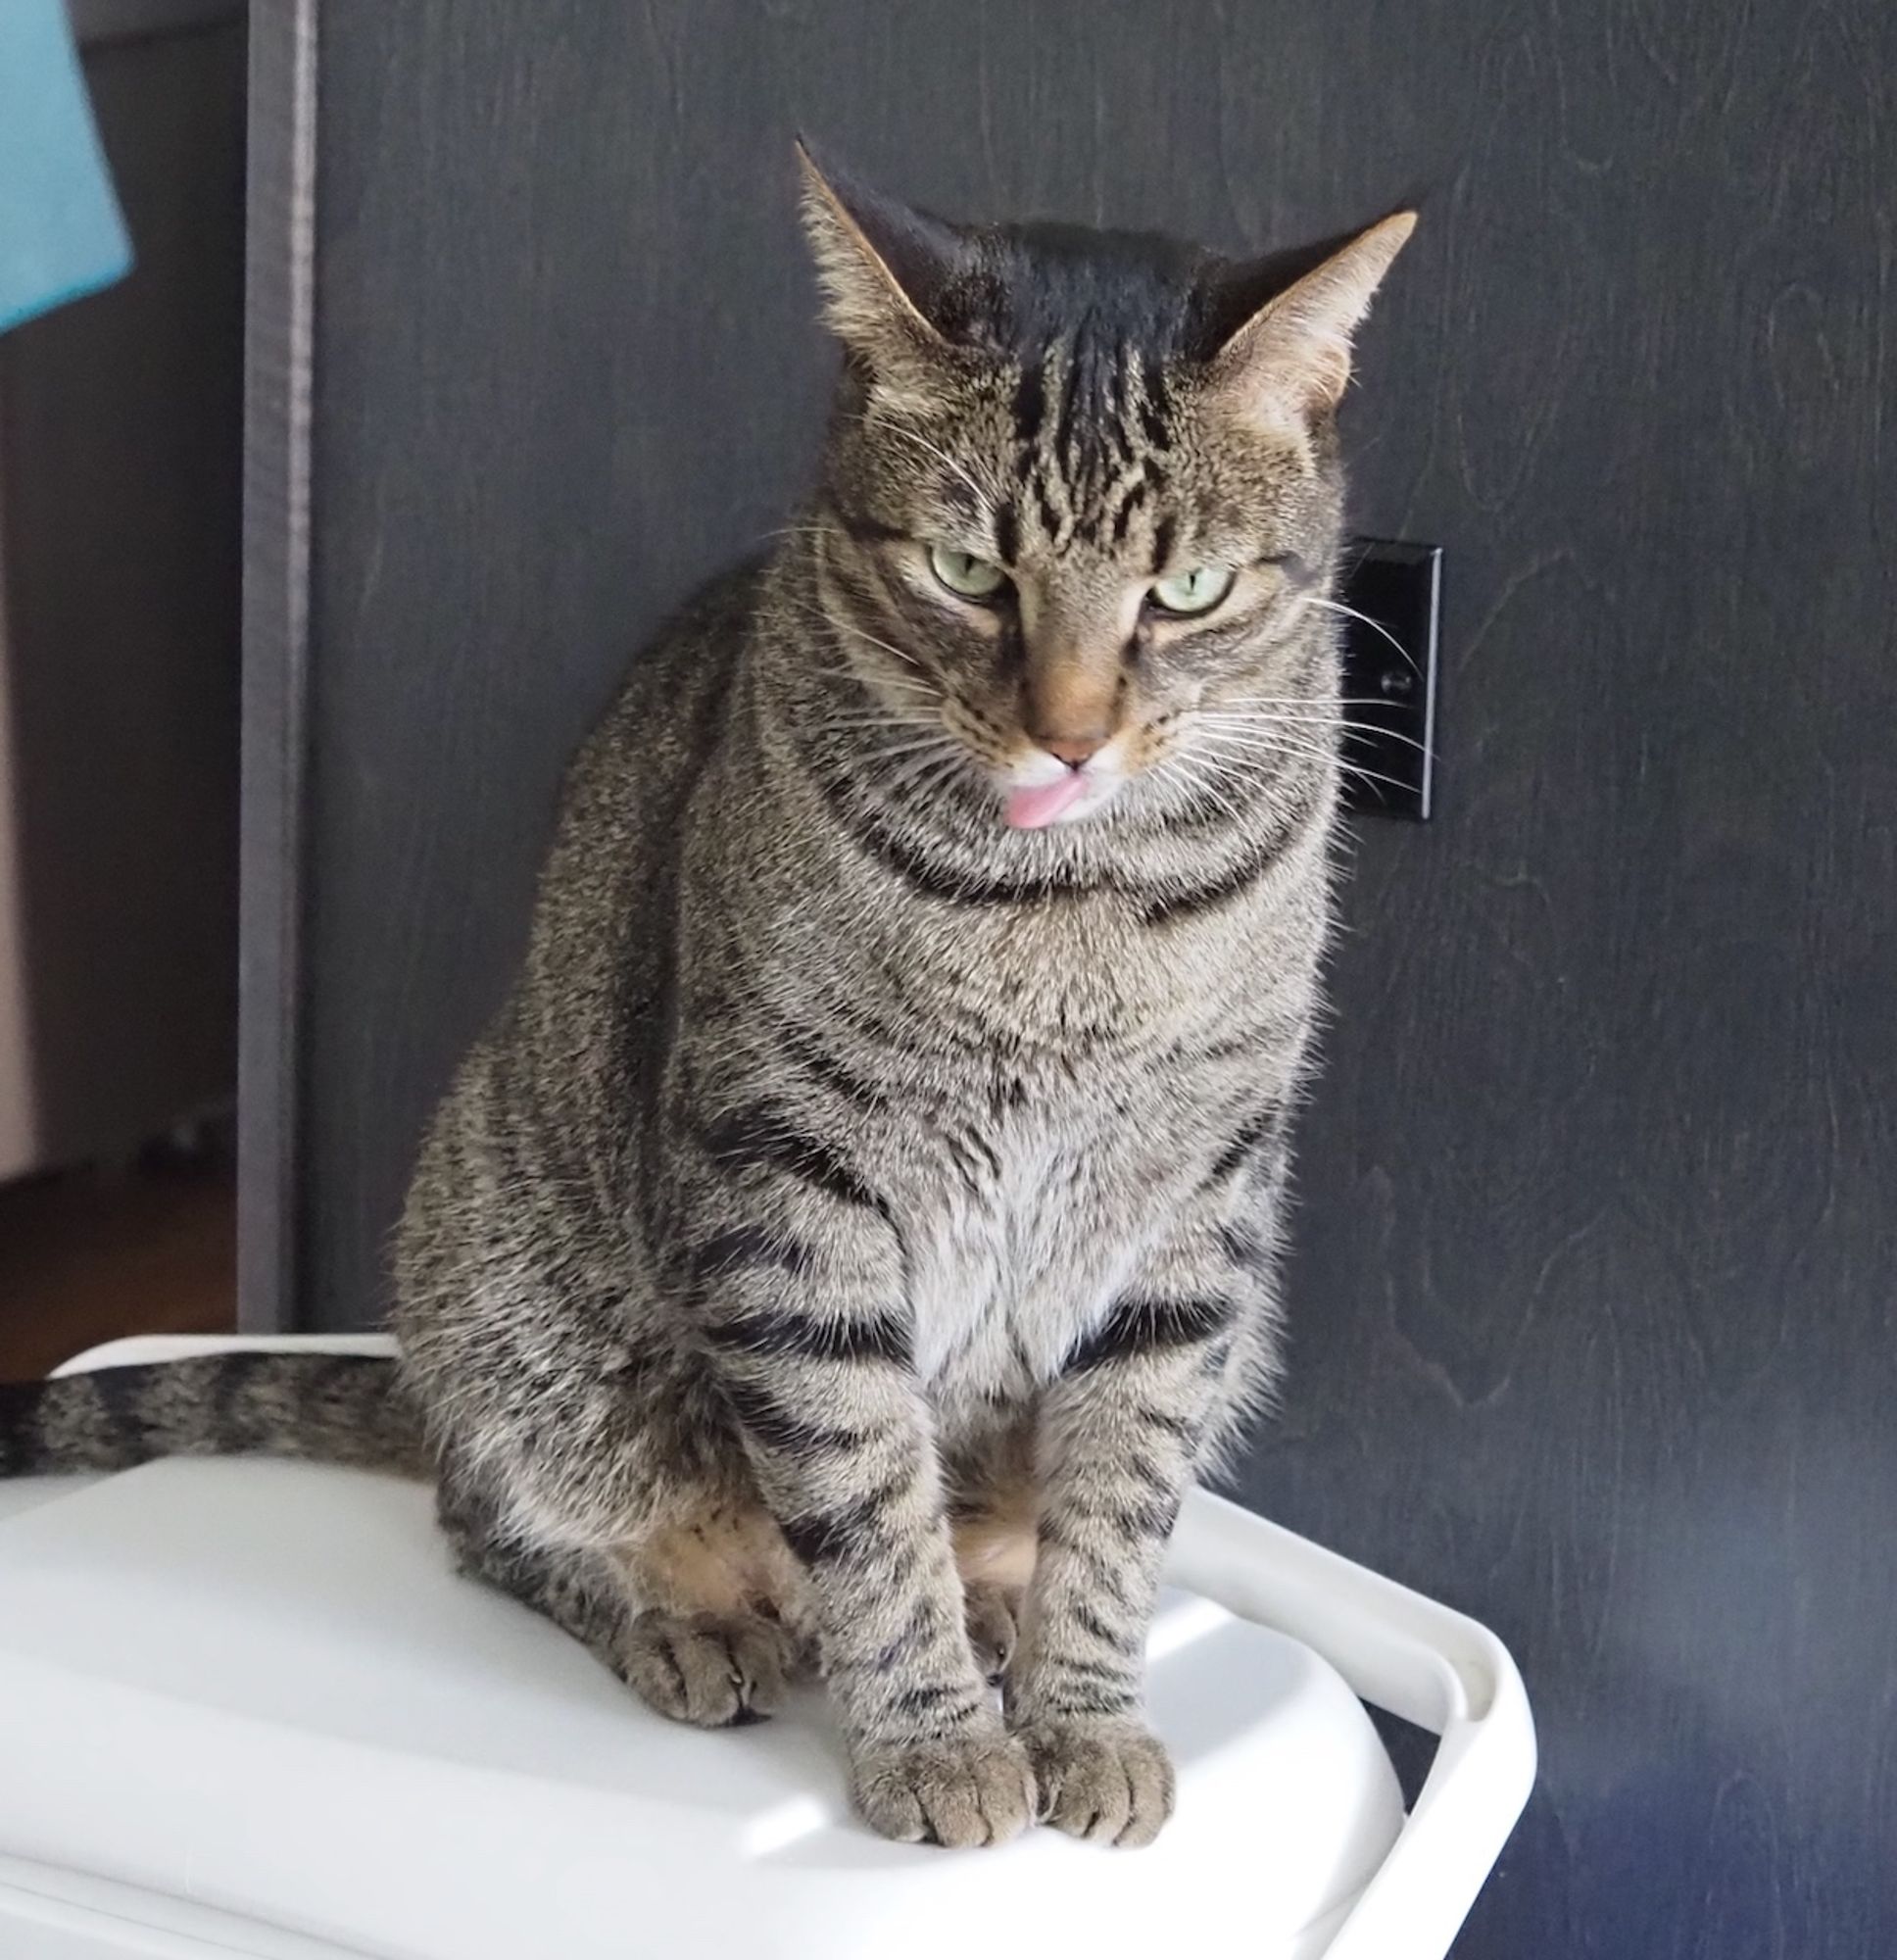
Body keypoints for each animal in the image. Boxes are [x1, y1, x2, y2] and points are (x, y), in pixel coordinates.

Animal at [0, 153, 1411, 1850]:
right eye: (968, 571)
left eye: (1188, 589)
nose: (1070, 735)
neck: (1062, 914)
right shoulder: (789, 1182)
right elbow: (865, 1498)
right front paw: (936, 1744)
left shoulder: (1196, 1216)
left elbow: (1119, 1505)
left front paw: (1082, 1715)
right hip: (512, 1283)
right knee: (501, 1517)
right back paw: (690, 1618)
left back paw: (990, 1603)